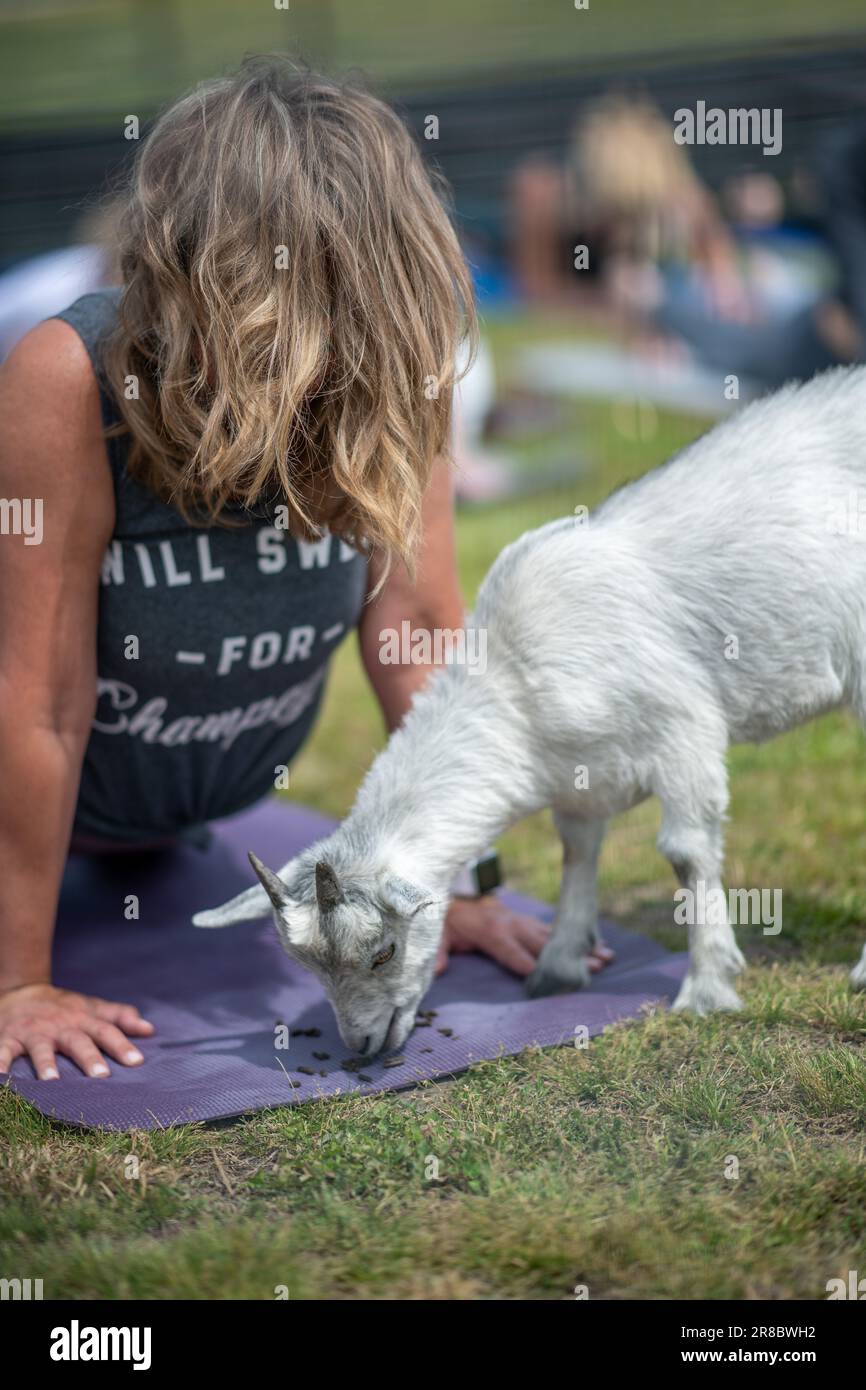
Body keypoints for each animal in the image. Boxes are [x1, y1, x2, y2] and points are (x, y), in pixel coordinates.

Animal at [194, 366, 866, 1055]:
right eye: (305, 964)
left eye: (383, 952)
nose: (361, 1048)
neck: (514, 685)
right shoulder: (582, 777)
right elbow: (577, 852)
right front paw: (559, 966)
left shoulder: (685, 731)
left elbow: (685, 853)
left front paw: (707, 987)